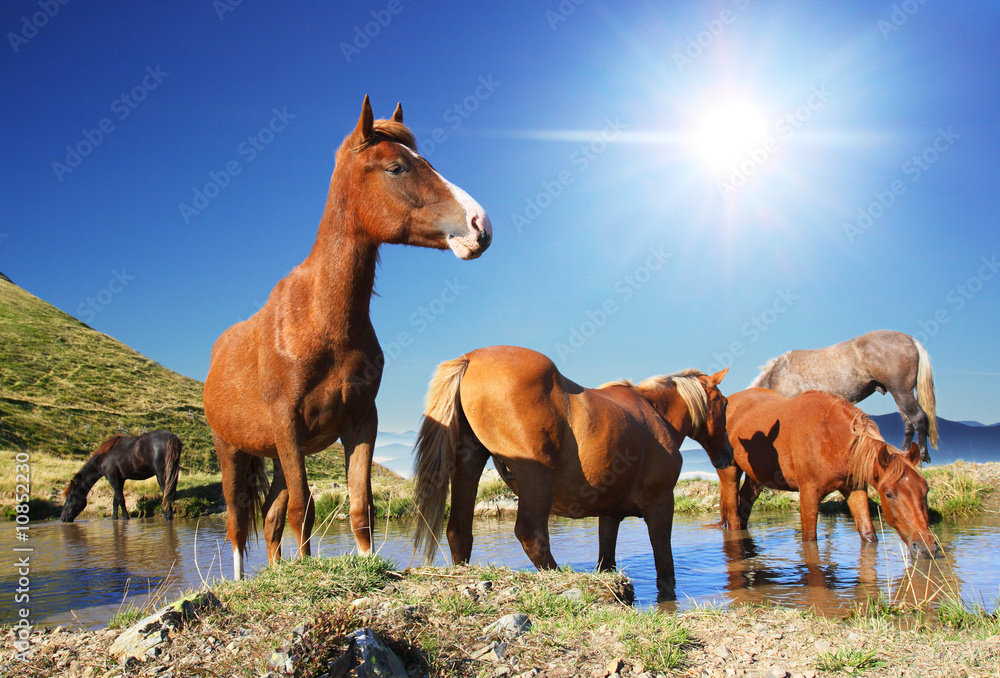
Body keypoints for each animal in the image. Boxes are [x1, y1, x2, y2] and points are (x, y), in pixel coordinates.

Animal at [203, 97, 492, 580]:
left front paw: (365, 564)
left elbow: (360, 506)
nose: (479, 225)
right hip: (233, 451)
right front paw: (305, 573)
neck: (320, 320)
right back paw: (242, 580)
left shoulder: (360, 421)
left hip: (277, 453)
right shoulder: (287, 424)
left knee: (270, 515)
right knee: (237, 520)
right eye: (396, 167)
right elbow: (304, 507)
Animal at [412, 345, 733, 602]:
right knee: (531, 534)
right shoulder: (662, 502)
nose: (727, 454)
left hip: (469, 461)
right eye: (726, 403)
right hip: (535, 476)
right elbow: (665, 566)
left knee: (459, 531)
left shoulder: (610, 514)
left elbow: (606, 561)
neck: (655, 414)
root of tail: (471, 358)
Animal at [717, 388, 938, 558]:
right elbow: (809, 539)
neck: (831, 435)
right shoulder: (808, 493)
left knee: (745, 506)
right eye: (889, 494)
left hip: (757, 477)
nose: (927, 547)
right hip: (730, 471)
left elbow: (869, 535)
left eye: (925, 490)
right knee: (734, 515)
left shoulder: (855, 490)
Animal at [750, 330, 938, 462]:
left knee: (919, 418)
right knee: (909, 423)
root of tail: (910, 339)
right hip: (899, 393)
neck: (778, 375)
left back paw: (921, 458)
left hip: (901, 391)